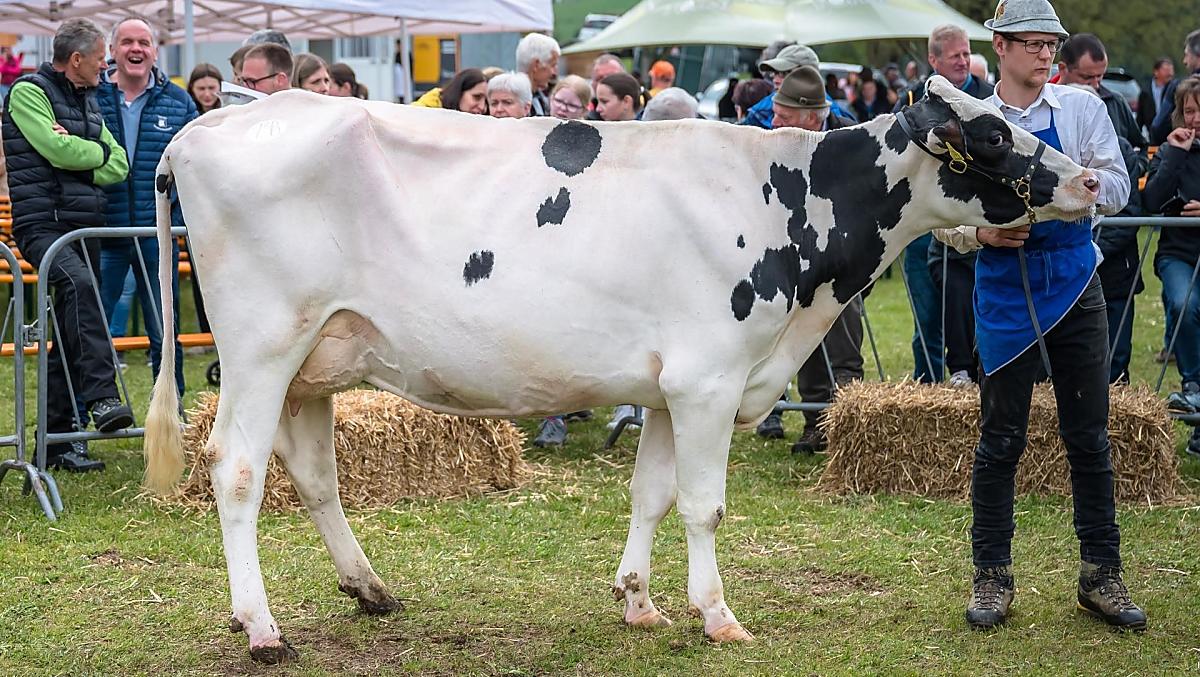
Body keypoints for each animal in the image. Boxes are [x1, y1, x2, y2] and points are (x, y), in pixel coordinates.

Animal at [144, 75, 1100, 663]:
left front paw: (638, 598)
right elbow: (706, 505)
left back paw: (370, 588)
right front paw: (718, 615)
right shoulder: (711, 379)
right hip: (262, 345)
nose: (1092, 181)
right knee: (235, 468)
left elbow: (653, 492)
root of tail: (210, 121)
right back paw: (261, 626)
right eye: (990, 131)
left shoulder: (670, 388)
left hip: (314, 358)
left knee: (314, 475)